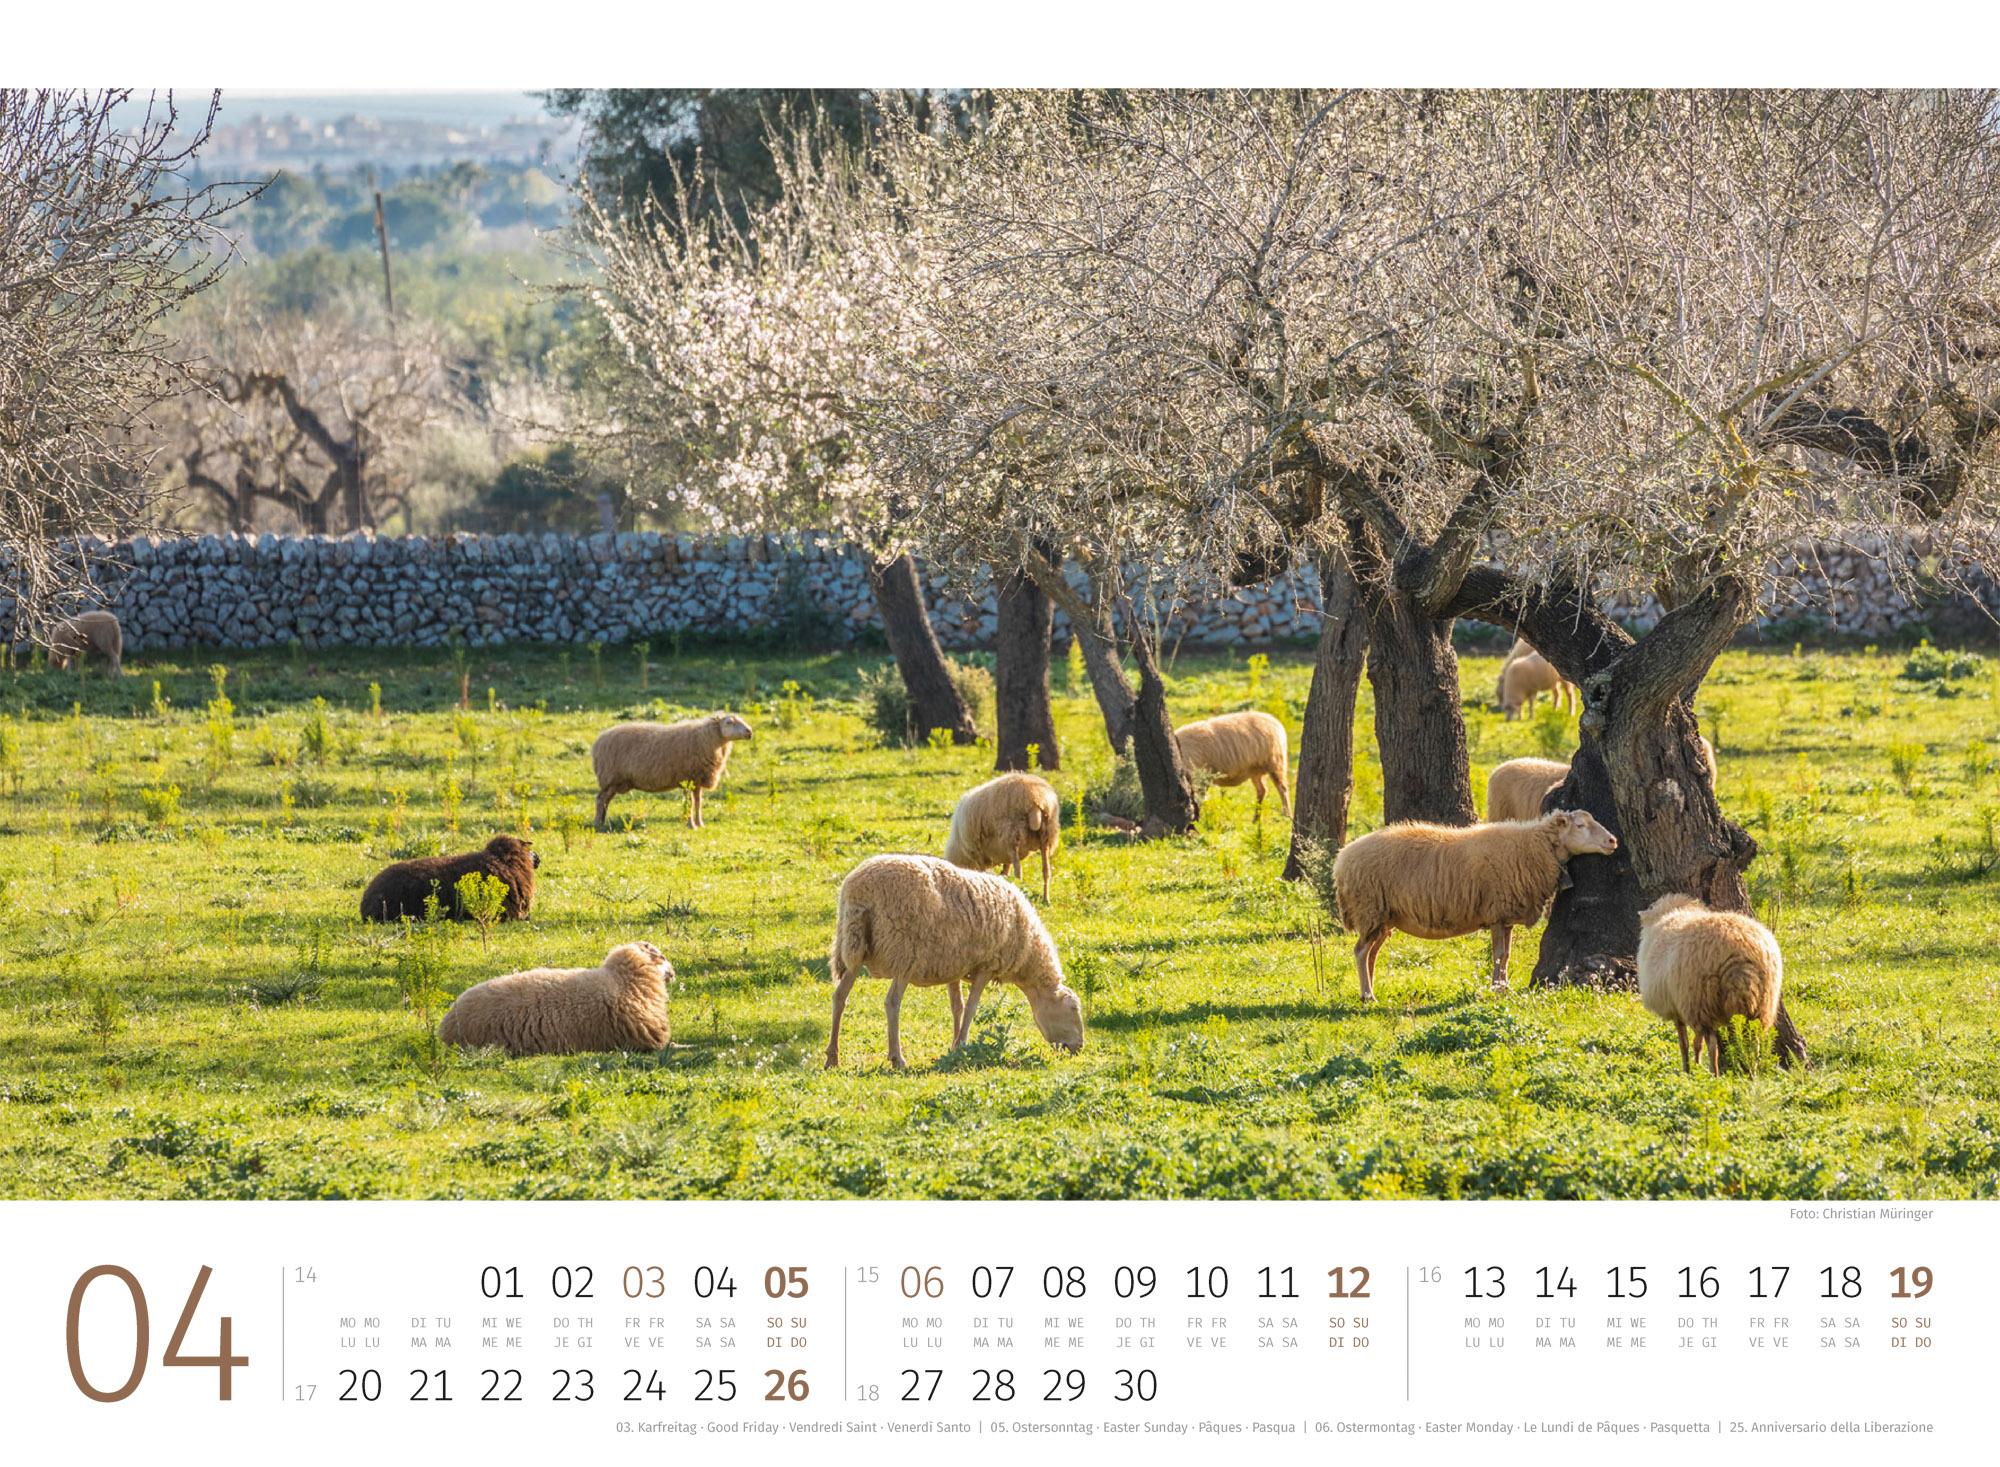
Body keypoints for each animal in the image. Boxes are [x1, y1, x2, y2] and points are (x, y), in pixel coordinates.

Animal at [591, 712, 753, 829]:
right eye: (729, 722)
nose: (749, 732)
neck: (708, 740)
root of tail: (598, 741)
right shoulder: (687, 778)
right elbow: (690, 803)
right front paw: (691, 825)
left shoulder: (697, 781)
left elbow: (698, 803)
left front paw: (700, 823)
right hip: (610, 777)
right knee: (600, 799)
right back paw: (598, 824)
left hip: (615, 782)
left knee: (605, 801)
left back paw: (603, 821)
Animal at [825, 853, 1085, 1070]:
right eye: (1073, 1009)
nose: (1079, 1047)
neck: (1028, 950)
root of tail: (860, 892)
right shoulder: (986, 966)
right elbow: (971, 1008)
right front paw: (962, 1045)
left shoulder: (954, 965)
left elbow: (957, 1006)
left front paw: (953, 1045)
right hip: (904, 953)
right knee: (892, 1003)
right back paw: (897, 1058)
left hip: (853, 948)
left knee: (840, 996)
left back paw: (832, 1057)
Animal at [945, 772, 1061, 903]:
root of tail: (1036, 798)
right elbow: (1006, 868)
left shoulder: (977, 852)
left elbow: (985, 871)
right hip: (1046, 834)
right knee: (1046, 870)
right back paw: (1046, 899)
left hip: (1012, 834)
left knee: (1018, 872)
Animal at [1332, 808, 1620, 999]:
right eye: (1580, 825)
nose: (1613, 841)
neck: (1532, 848)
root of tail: (1342, 859)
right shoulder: (1497, 914)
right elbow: (1498, 954)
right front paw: (1496, 988)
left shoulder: (1506, 917)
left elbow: (1507, 955)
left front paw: (1504, 986)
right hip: (1369, 908)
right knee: (1360, 952)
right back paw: (1368, 995)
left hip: (1382, 917)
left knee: (1371, 953)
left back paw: (1368, 988)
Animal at [1636, 894, 1783, 1076]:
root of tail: (1741, 951)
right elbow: (1696, 1043)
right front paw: (1696, 1066)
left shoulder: (1680, 1009)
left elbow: (1685, 1043)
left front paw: (1688, 1069)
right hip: (1763, 1005)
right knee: (1754, 1042)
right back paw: (1752, 1072)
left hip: (1701, 1000)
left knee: (1713, 1046)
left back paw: (1714, 1074)